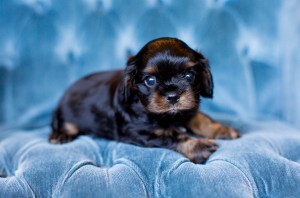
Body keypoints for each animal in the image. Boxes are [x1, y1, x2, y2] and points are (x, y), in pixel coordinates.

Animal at [49, 38, 241, 163]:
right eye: (150, 80)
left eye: (189, 76)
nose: (173, 96)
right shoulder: (138, 131)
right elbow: (173, 134)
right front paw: (198, 146)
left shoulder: (186, 109)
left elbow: (201, 118)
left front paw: (223, 129)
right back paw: (60, 135)